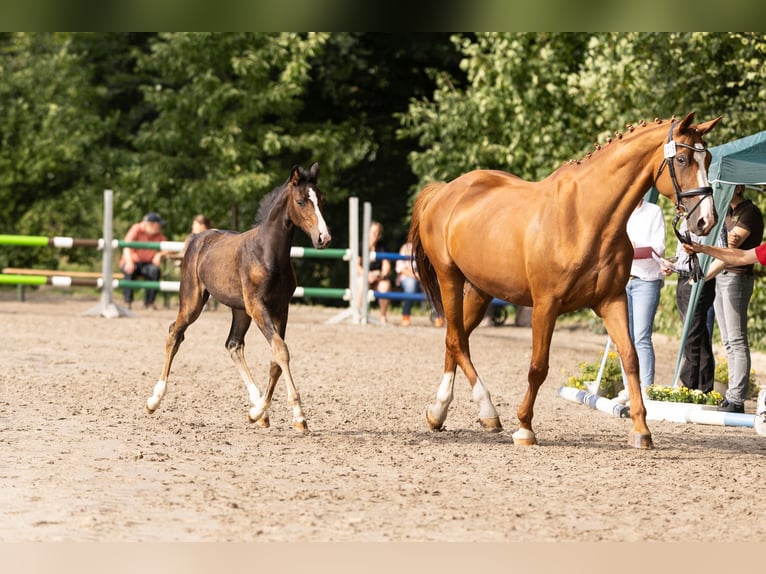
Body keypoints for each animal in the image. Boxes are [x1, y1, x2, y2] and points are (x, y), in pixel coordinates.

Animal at [145, 163, 331, 433]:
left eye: (322, 200)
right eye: (301, 201)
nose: (323, 238)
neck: (268, 253)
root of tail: (196, 238)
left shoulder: (280, 309)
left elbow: (275, 359)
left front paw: (258, 412)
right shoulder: (258, 307)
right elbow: (281, 351)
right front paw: (299, 416)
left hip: (240, 310)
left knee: (233, 344)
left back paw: (257, 408)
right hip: (193, 301)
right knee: (174, 334)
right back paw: (154, 400)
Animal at [408, 112, 722, 449]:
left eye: (708, 158)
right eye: (682, 159)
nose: (706, 221)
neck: (587, 218)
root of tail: (445, 192)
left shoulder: (612, 301)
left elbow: (630, 358)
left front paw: (641, 430)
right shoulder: (546, 305)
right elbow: (538, 366)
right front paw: (524, 427)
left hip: (481, 290)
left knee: (456, 339)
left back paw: (441, 413)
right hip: (449, 279)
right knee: (456, 339)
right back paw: (485, 410)